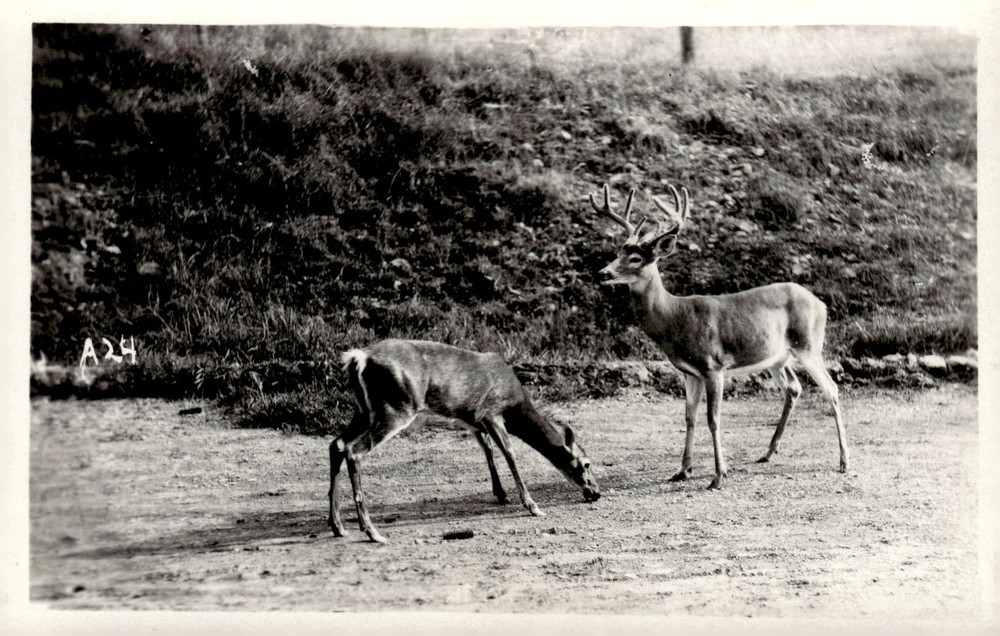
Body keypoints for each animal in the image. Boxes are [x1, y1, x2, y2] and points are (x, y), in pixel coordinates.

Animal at [329, 339, 601, 543]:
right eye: (586, 463)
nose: (596, 493)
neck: (515, 405)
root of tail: (358, 358)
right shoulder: (491, 412)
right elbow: (509, 454)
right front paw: (532, 506)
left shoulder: (474, 422)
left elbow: (488, 450)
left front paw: (501, 494)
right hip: (396, 407)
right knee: (354, 450)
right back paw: (371, 532)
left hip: (363, 410)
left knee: (337, 444)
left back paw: (338, 526)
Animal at [588, 183, 849, 490]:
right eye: (618, 251)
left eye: (635, 258)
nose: (602, 273)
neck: (675, 317)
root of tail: (821, 304)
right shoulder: (689, 372)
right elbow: (689, 417)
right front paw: (682, 470)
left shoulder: (713, 366)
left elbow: (713, 419)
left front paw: (718, 475)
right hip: (777, 357)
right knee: (794, 389)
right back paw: (768, 452)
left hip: (808, 344)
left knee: (831, 389)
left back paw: (844, 461)